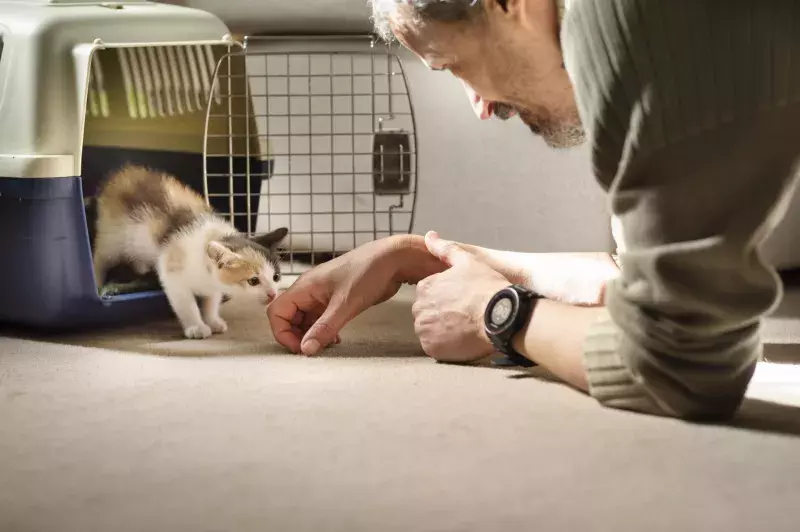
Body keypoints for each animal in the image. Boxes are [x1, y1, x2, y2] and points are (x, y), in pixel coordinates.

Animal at [94, 164, 288, 338]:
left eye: (276, 277)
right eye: (253, 281)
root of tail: (123, 173)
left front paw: (212, 320)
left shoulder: (212, 285)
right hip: (111, 237)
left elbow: (211, 300)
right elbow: (186, 303)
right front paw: (197, 327)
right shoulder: (172, 271)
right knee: (101, 258)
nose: (272, 294)